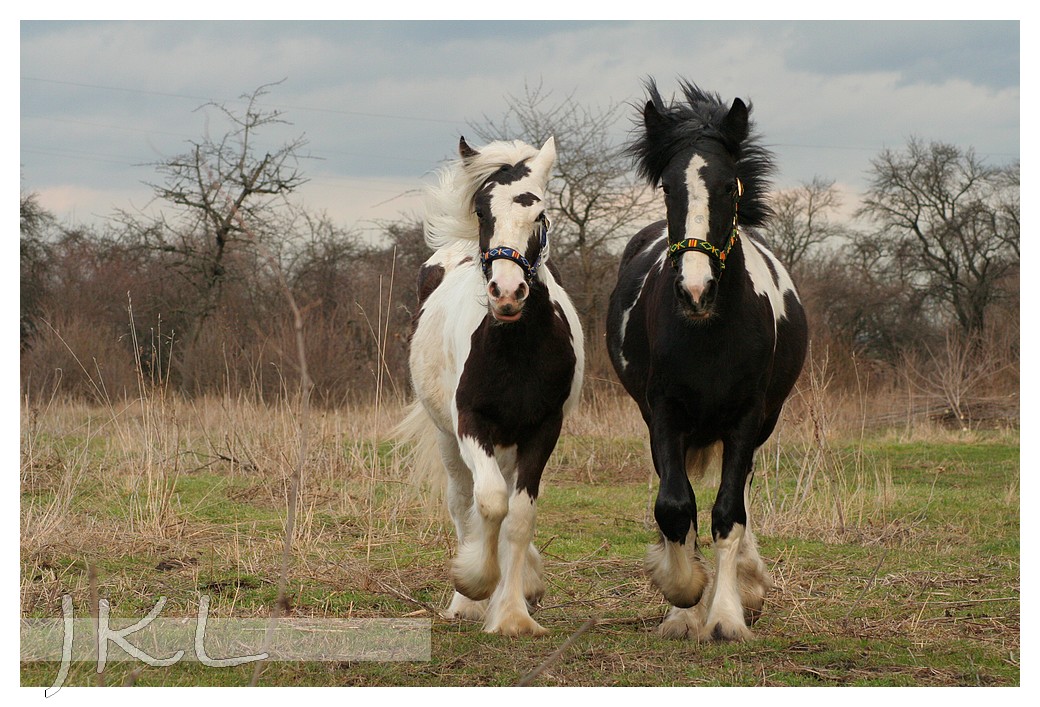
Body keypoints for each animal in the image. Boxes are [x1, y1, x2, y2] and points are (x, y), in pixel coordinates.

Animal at [399, 135, 586, 632]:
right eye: (483, 212)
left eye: (539, 213)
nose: (506, 292)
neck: (514, 348)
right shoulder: (471, 423)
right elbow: (489, 503)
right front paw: (476, 582)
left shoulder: (544, 428)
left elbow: (518, 516)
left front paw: (514, 613)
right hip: (448, 440)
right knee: (463, 501)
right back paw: (465, 603)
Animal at [607, 81, 807, 640]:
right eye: (668, 189)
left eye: (729, 188)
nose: (695, 291)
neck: (710, 333)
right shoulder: (664, 411)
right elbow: (676, 507)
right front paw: (682, 599)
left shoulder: (746, 416)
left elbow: (728, 512)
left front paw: (726, 616)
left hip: (760, 424)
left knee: (740, 497)